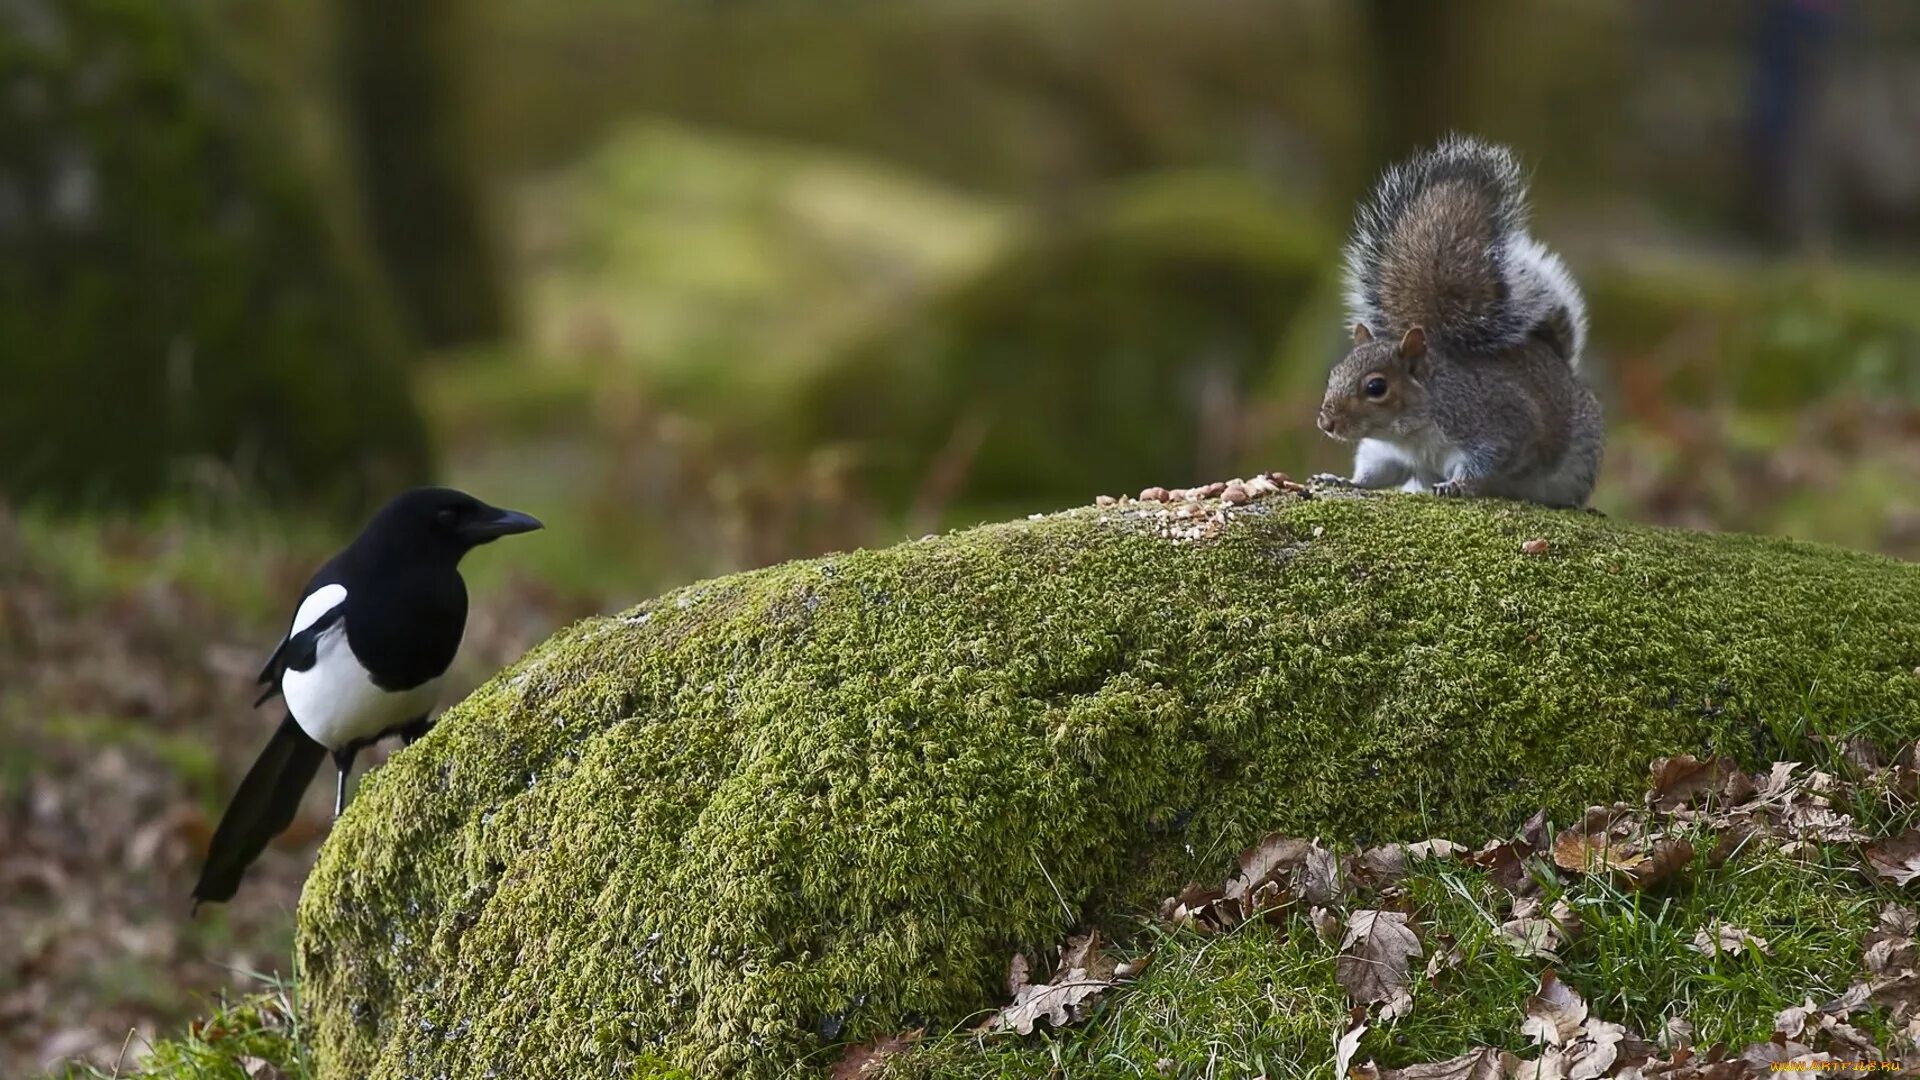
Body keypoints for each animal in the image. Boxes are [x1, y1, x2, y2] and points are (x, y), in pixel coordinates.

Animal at [1305, 134, 1605, 503]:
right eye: (1333, 374)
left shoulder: (1498, 429)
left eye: (1376, 387)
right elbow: (1374, 474)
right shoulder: (1386, 454)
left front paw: (1455, 485)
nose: (1326, 423)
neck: (1409, 434)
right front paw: (1342, 481)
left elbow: (1484, 465)